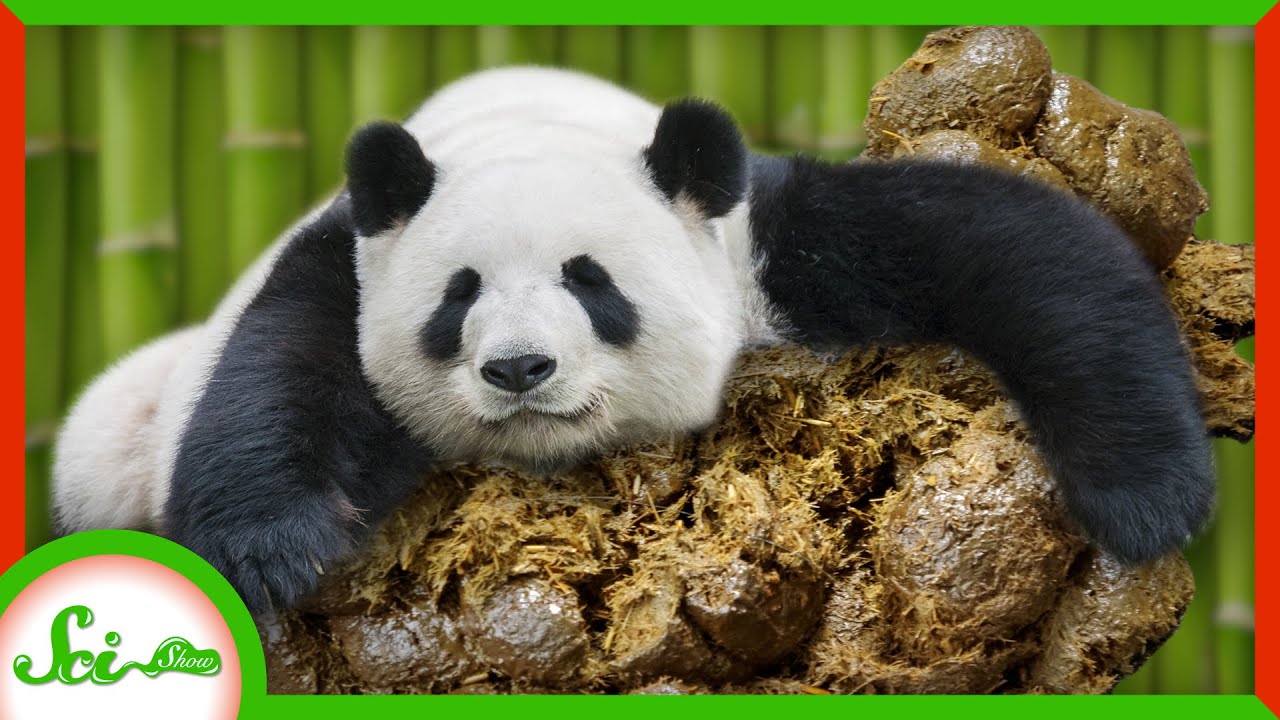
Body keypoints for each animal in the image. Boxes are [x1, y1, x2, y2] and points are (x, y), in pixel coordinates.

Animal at [52, 67, 1214, 612]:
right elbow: (280, 371)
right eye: (458, 296)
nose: (520, 368)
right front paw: (271, 547)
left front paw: (1146, 498)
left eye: (591, 281)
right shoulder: (344, 256)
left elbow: (1021, 252)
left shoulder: (764, 240)